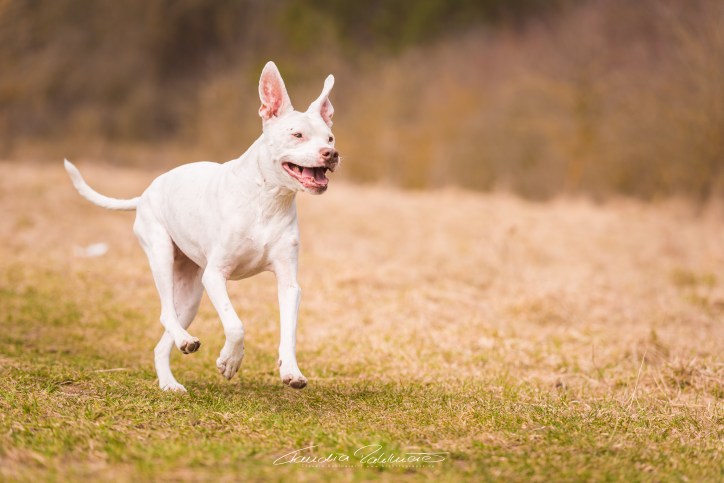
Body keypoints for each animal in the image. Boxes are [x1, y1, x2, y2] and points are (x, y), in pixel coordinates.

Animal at [64, 61, 339, 392]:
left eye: (330, 138)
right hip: (162, 255)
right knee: (165, 312)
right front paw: (230, 360)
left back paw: (169, 381)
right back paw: (184, 343)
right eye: (297, 134)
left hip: (192, 295)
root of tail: (145, 193)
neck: (267, 199)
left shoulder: (288, 284)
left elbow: (289, 331)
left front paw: (291, 370)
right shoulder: (215, 275)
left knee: (162, 342)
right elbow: (235, 324)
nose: (331, 155)